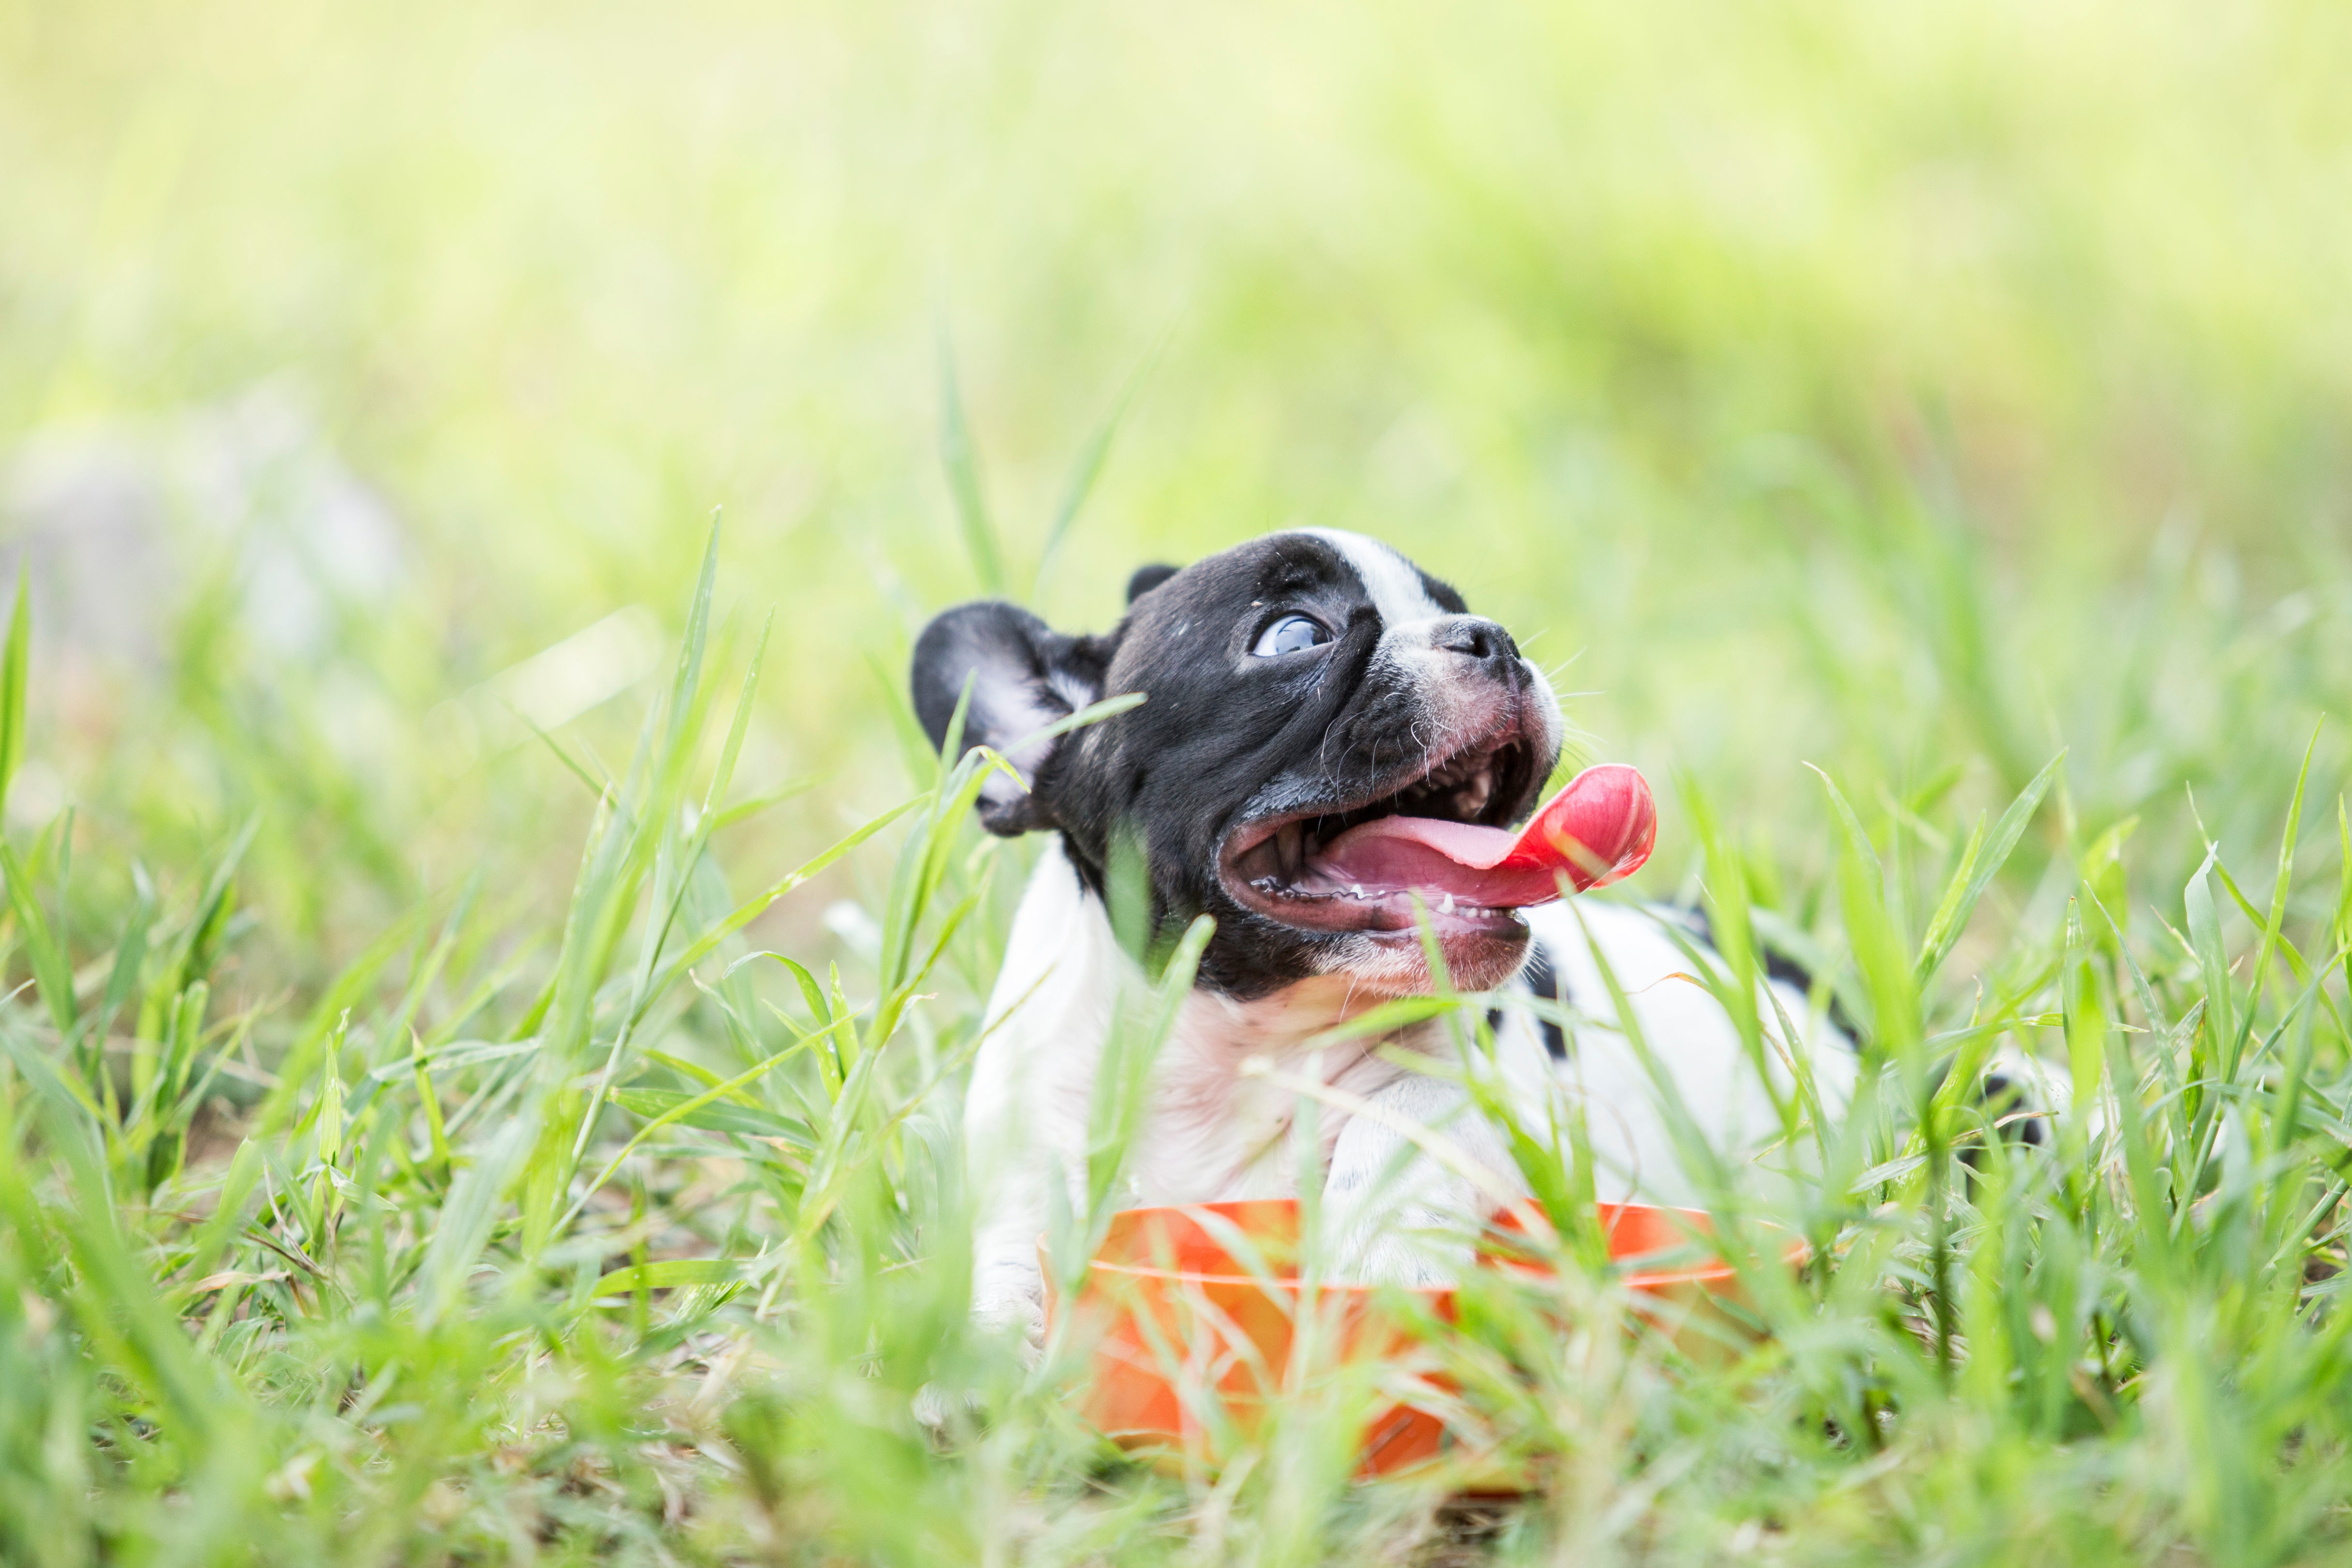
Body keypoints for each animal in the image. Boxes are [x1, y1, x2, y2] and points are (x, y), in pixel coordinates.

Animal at [913, 534, 1853, 1335]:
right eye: (1295, 634)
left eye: (1457, 607)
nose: (1493, 637)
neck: (1226, 1043)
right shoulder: (1028, 1129)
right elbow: (1012, 1239)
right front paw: (987, 1357)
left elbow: (1414, 1108)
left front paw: (1384, 1252)